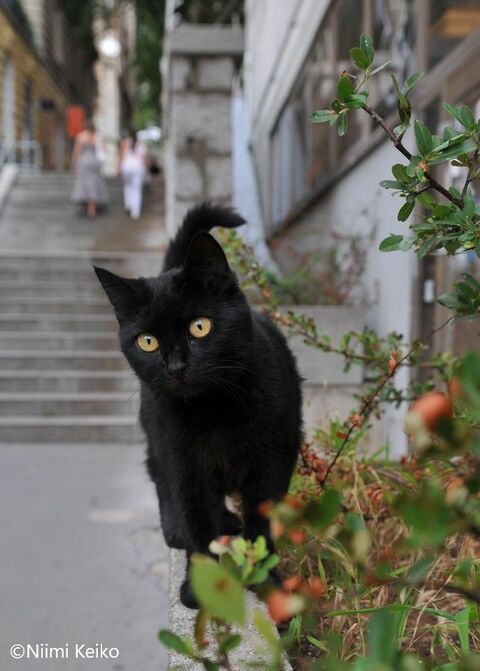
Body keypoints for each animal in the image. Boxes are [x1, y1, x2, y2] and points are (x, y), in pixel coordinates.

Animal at [94, 204, 302, 608]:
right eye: (147, 341)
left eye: (200, 327)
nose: (176, 367)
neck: (214, 412)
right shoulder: (186, 462)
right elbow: (197, 522)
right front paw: (199, 586)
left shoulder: (274, 457)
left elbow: (261, 521)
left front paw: (267, 581)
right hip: (156, 430)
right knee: (159, 475)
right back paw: (178, 528)